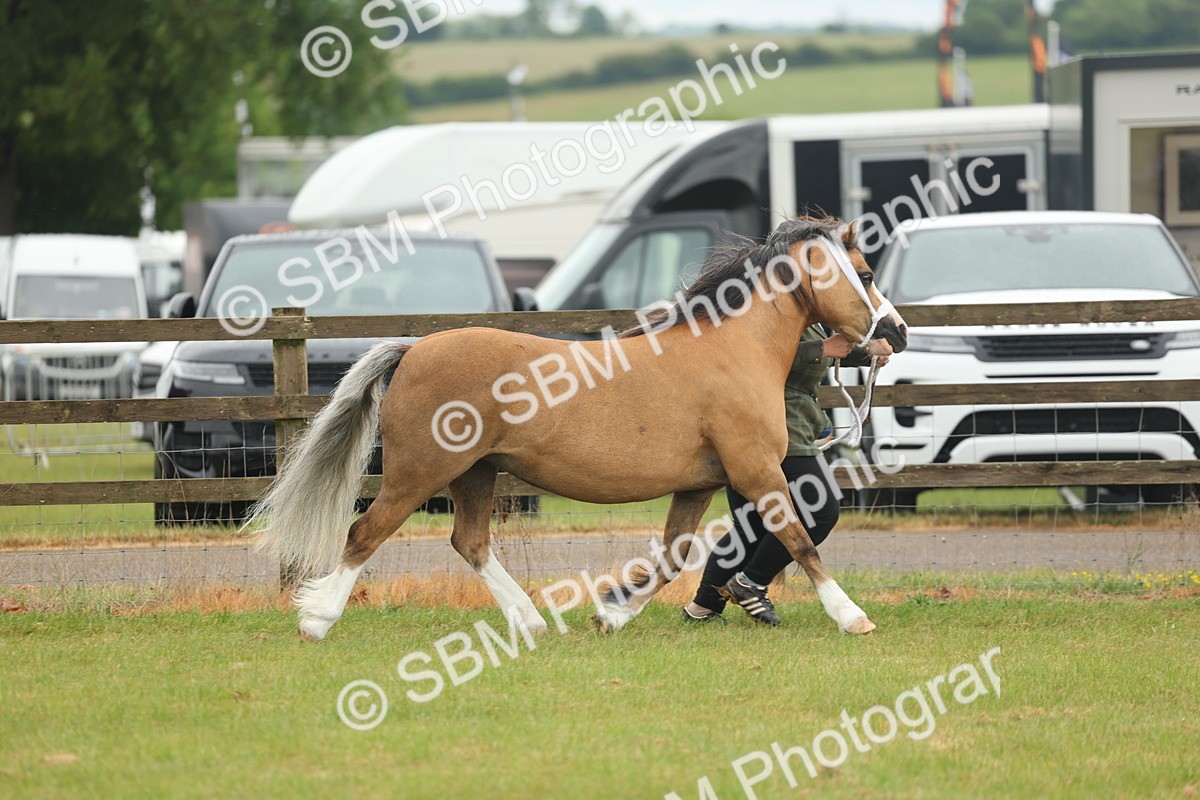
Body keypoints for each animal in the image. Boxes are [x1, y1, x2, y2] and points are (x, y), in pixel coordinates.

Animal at [249, 216, 908, 641]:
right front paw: (853, 616)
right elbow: (799, 539)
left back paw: (531, 621)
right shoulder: (756, 470)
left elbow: (673, 555)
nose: (896, 334)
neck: (732, 351)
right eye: (866, 273)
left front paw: (611, 615)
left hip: (475, 474)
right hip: (420, 473)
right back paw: (317, 619)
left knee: (471, 544)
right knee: (365, 533)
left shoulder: (701, 482)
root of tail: (411, 351)